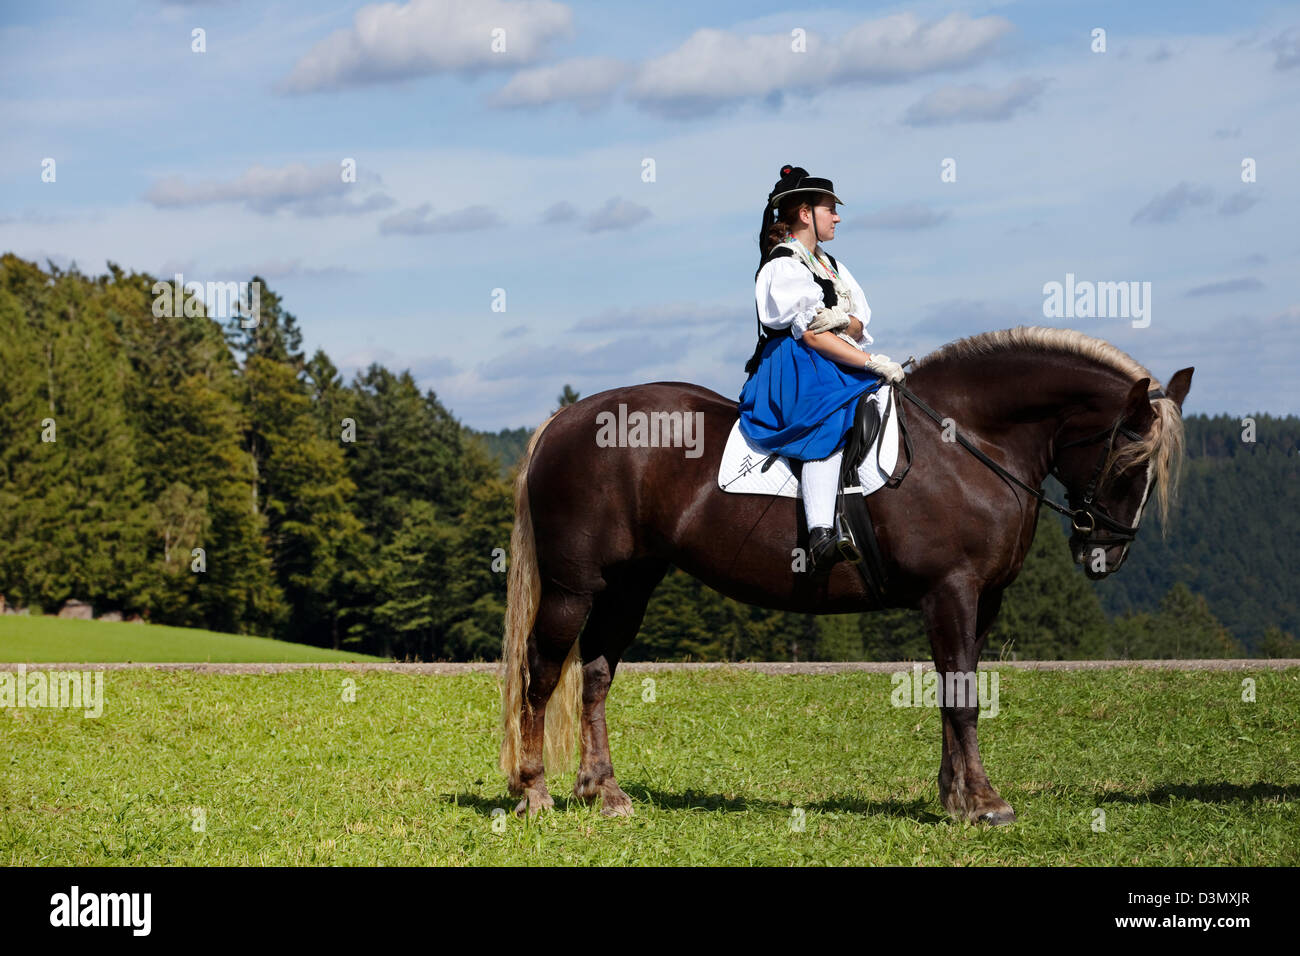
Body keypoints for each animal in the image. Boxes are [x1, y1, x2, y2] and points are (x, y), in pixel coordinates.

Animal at [501, 327, 1190, 822]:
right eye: (1127, 460)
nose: (1105, 554)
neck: (964, 441)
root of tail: (564, 421)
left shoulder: (979, 601)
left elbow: (954, 690)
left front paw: (954, 796)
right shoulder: (952, 591)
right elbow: (963, 697)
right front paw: (984, 803)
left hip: (629, 586)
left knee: (595, 675)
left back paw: (603, 790)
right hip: (572, 588)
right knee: (541, 671)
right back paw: (533, 790)